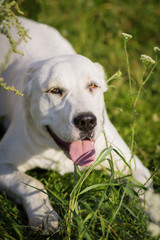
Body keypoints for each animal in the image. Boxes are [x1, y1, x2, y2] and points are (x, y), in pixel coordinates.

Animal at [0, 17, 151, 233]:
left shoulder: (132, 166)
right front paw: (44, 215)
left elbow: (146, 193)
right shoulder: (4, 164)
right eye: (55, 90)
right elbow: (30, 182)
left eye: (93, 86)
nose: (86, 121)